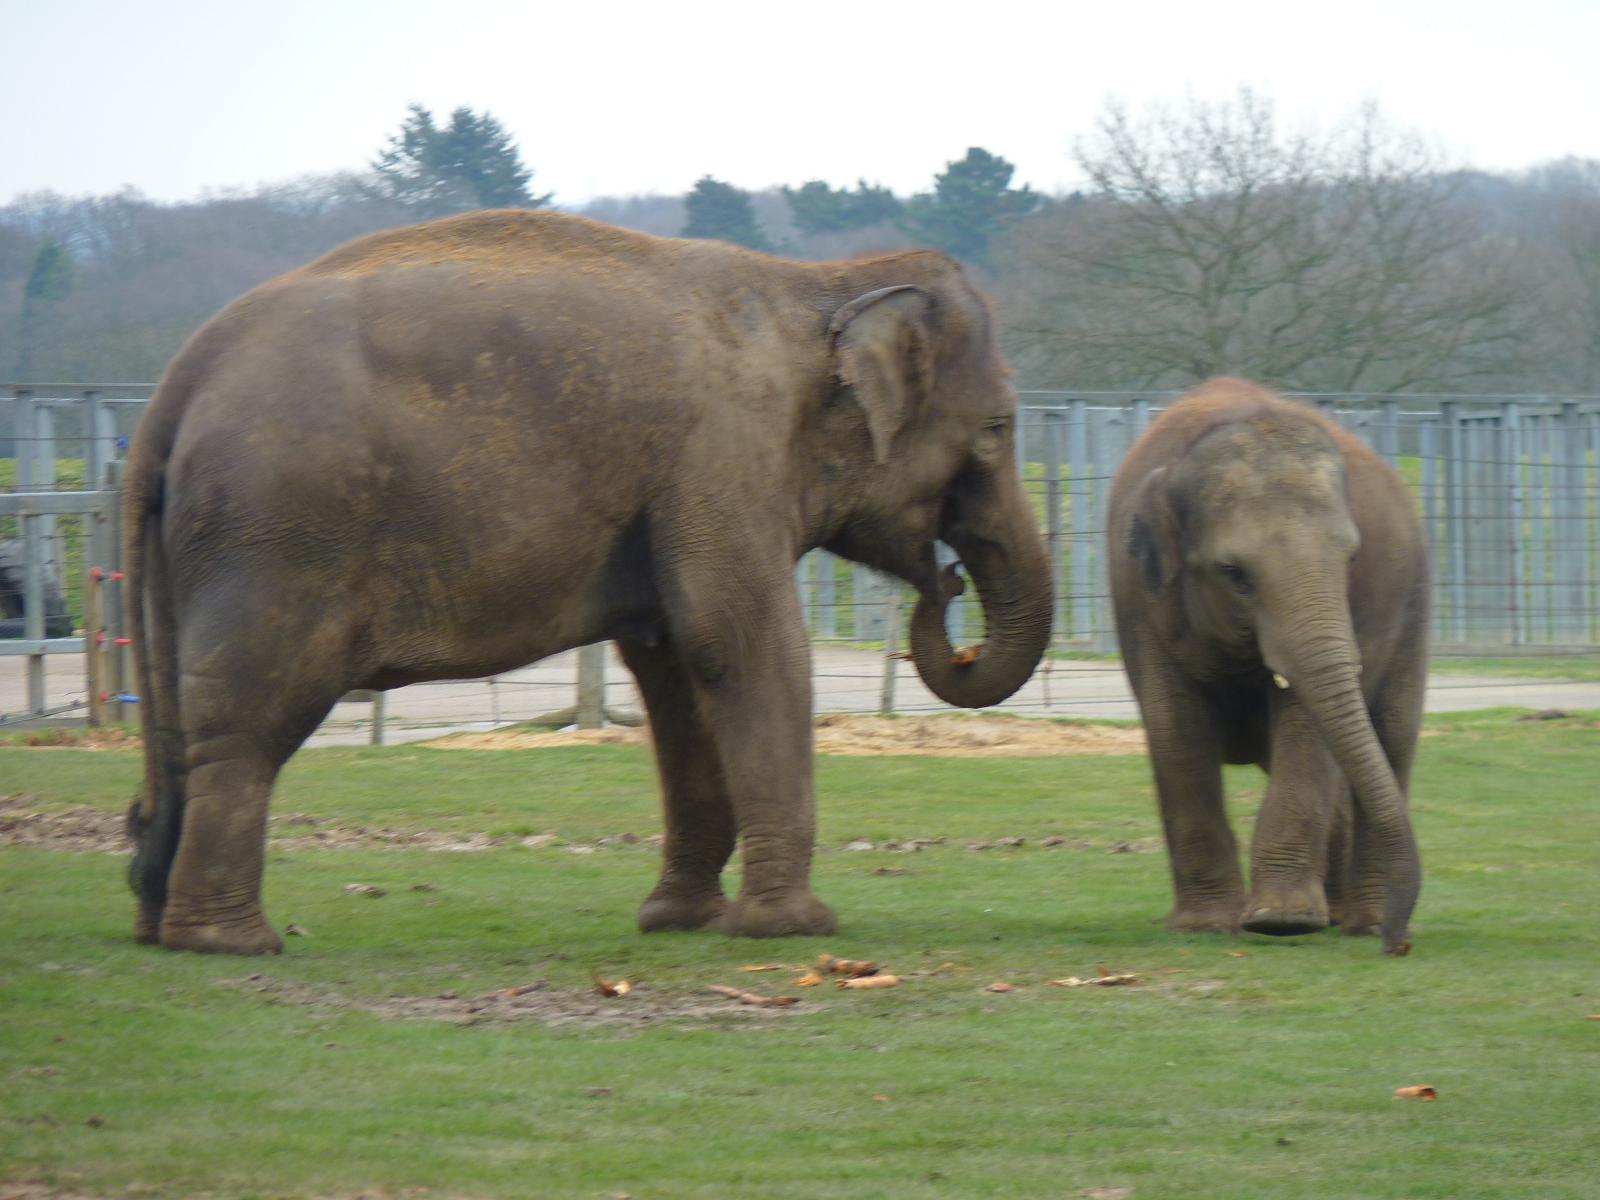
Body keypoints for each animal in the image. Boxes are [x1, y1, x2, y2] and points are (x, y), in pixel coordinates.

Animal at [123, 208, 1053, 955]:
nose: (948, 586)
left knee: (180, 726)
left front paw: (680, 922)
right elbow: (739, 642)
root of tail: (173, 389)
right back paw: (233, 942)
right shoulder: (723, 457)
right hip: (277, 534)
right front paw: (792, 929)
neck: (816, 286)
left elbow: (673, 670)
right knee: (249, 722)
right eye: (997, 429)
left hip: (199, 549)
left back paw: (158, 921)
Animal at [1107, 378, 1427, 954]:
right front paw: (1208, 926)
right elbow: (1174, 724)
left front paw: (1282, 921)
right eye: (1235, 574)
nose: (1399, 944)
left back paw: (1357, 920)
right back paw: (1343, 917)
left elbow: (1306, 727)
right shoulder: (1137, 595)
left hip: (1415, 602)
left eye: (1351, 560)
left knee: (1391, 734)